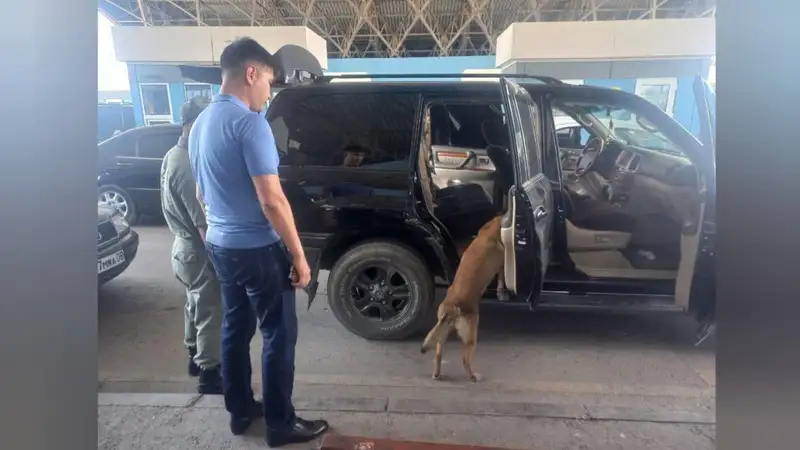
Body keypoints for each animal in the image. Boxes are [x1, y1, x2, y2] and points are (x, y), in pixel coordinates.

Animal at [422, 214, 504, 380]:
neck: (487, 235)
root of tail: (451, 307)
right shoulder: (500, 264)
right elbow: (501, 277)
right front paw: (501, 290)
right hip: (471, 335)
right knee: (465, 358)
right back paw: (473, 376)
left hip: (442, 334)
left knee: (439, 354)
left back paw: (437, 373)